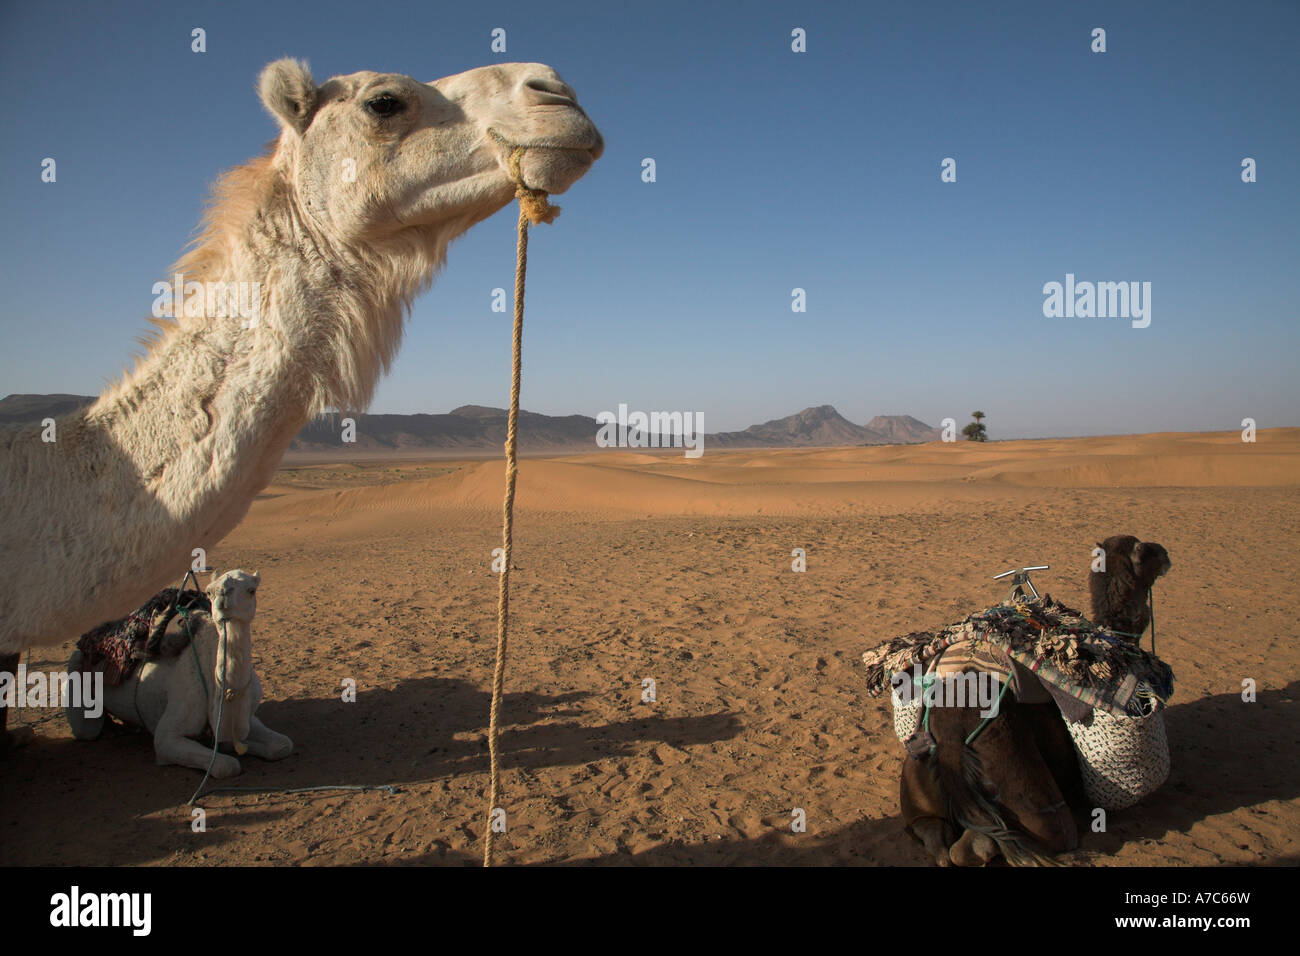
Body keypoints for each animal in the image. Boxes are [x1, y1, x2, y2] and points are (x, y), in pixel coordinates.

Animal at [67, 569, 292, 776]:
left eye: (251, 590)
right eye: (209, 592)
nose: (222, 596)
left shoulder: (248, 716)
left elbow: (282, 745)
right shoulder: (167, 736)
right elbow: (226, 766)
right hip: (75, 676)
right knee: (87, 730)